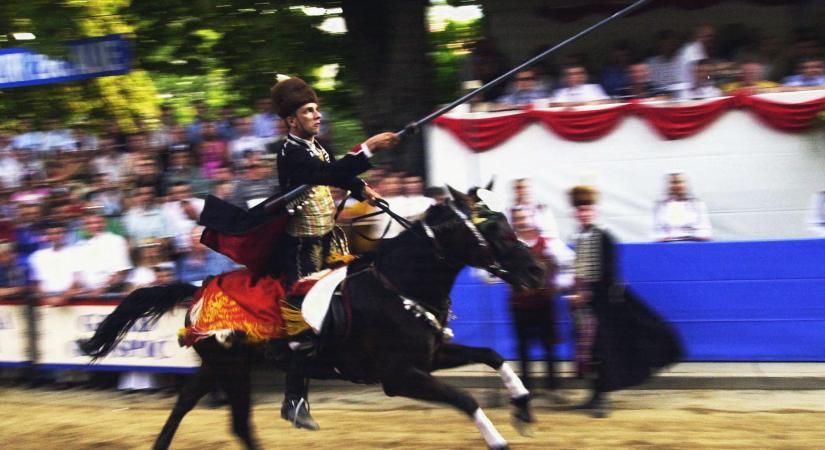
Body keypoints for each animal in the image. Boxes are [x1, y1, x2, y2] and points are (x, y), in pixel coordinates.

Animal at [80, 185, 544, 446]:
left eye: (507, 221)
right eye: (494, 229)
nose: (537, 271)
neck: (398, 283)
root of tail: (199, 287)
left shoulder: (430, 358)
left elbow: (492, 355)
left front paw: (523, 408)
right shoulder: (400, 376)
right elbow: (466, 398)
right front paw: (501, 439)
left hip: (220, 366)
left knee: (192, 409)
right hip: (232, 367)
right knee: (233, 422)